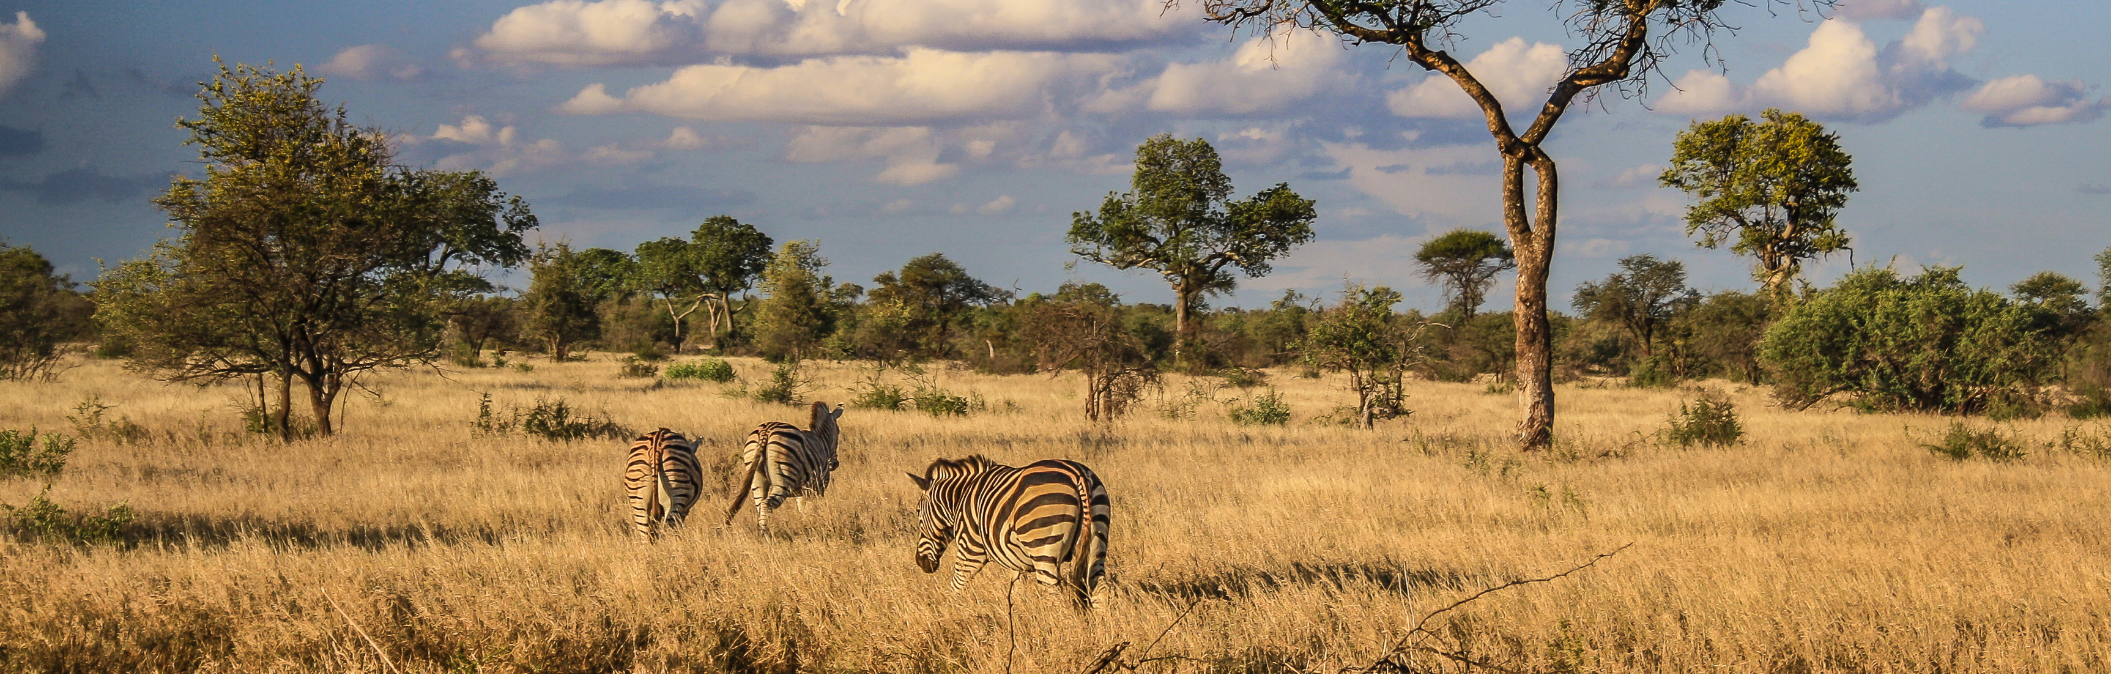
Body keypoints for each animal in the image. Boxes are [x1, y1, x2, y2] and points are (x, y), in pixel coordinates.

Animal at [723, 401, 844, 533]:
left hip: (757, 477)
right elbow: (813, 509)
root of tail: (765, 431)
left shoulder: (803, 491)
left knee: (760, 504)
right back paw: (765, 535)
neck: (821, 440)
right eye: (838, 432)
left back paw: (762, 532)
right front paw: (815, 526)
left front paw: (806, 526)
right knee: (766, 504)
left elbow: (802, 510)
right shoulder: (818, 487)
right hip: (784, 480)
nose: (835, 464)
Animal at [906, 455, 1111, 609]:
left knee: (1054, 595)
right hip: (1097, 541)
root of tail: (1078, 475)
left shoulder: (970, 549)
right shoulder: (1015, 560)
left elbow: (956, 586)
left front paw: (951, 613)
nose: (920, 562)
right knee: (1099, 590)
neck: (960, 499)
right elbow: (1016, 591)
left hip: (1044, 549)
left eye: (917, 511)